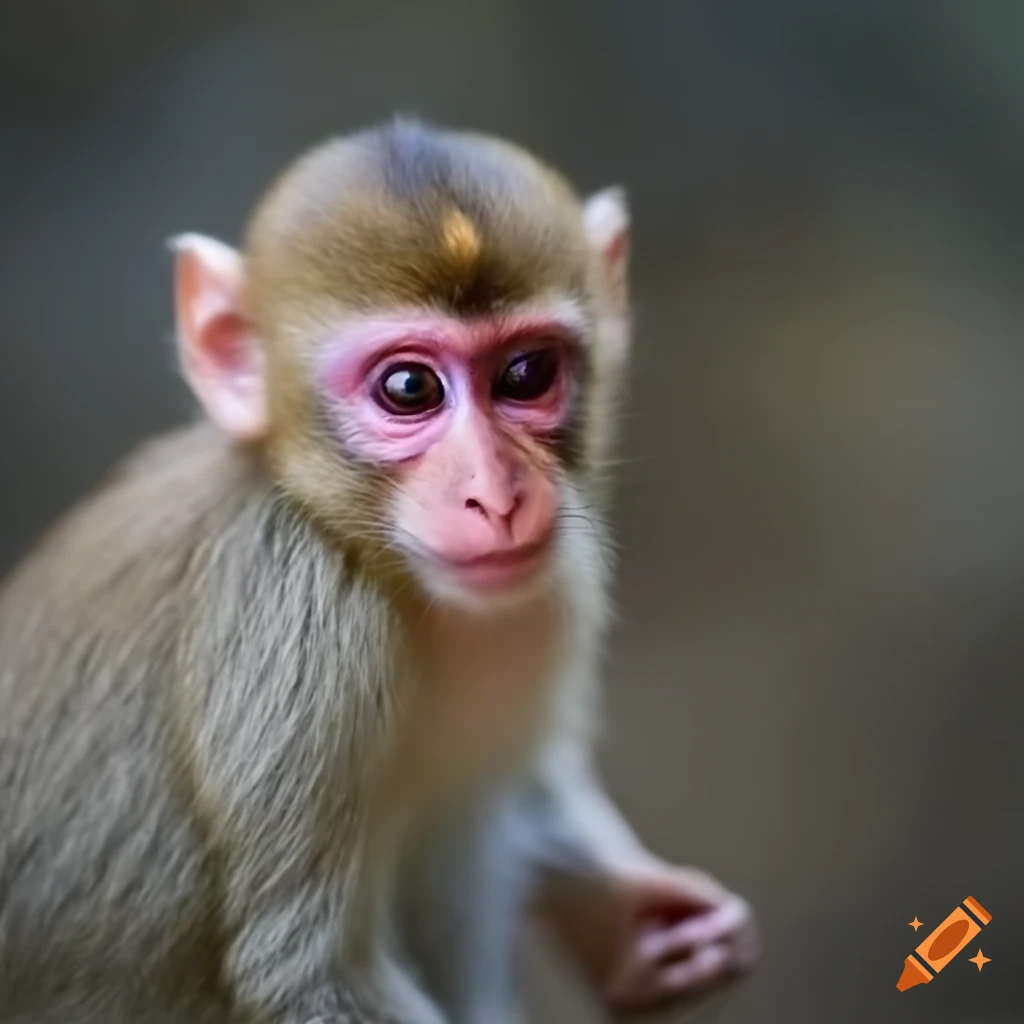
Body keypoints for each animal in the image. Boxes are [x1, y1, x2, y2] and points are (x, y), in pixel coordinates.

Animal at [0, 118, 757, 1024]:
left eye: (527, 373)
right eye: (409, 388)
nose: (496, 496)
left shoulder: (549, 588)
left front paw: (635, 924)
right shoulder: (301, 625)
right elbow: (308, 971)